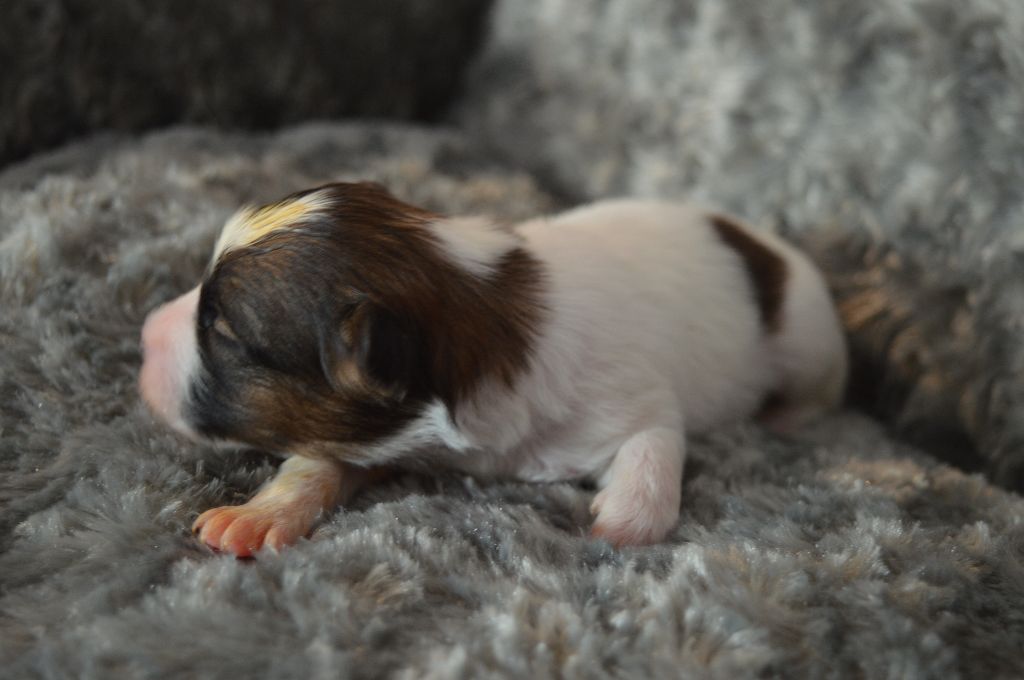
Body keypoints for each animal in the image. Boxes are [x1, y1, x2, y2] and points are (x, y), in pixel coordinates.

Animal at [139, 182, 847, 557]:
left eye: (222, 330)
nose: (143, 335)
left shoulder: (634, 400)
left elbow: (654, 446)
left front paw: (622, 521)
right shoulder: (382, 432)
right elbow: (317, 461)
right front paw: (257, 515)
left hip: (810, 339)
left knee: (820, 388)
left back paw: (787, 419)